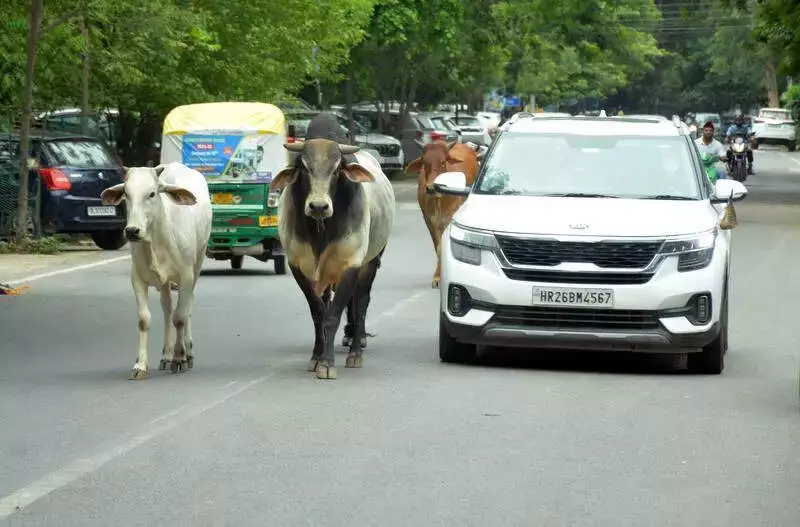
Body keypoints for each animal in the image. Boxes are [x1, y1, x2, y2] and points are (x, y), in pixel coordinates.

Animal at [100, 162, 212, 380]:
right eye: (126, 193)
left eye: (152, 193)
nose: (132, 231)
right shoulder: (137, 278)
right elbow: (145, 320)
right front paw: (140, 365)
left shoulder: (186, 276)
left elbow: (180, 317)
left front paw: (180, 358)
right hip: (166, 282)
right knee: (167, 308)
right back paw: (166, 355)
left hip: (198, 262)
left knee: (186, 308)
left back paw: (188, 352)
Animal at [270, 112, 396, 380]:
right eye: (303, 166)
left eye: (337, 168)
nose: (318, 206)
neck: (321, 230)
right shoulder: (298, 266)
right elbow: (318, 313)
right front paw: (316, 358)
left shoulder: (351, 264)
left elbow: (334, 313)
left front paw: (327, 363)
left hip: (370, 263)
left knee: (360, 304)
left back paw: (356, 352)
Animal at [405, 140, 480, 288]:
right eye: (425, 163)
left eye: (442, 162)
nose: (431, 188)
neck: (439, 200)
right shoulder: (429, 220)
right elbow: (438, 247)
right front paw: (437, 277)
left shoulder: (450, 219)